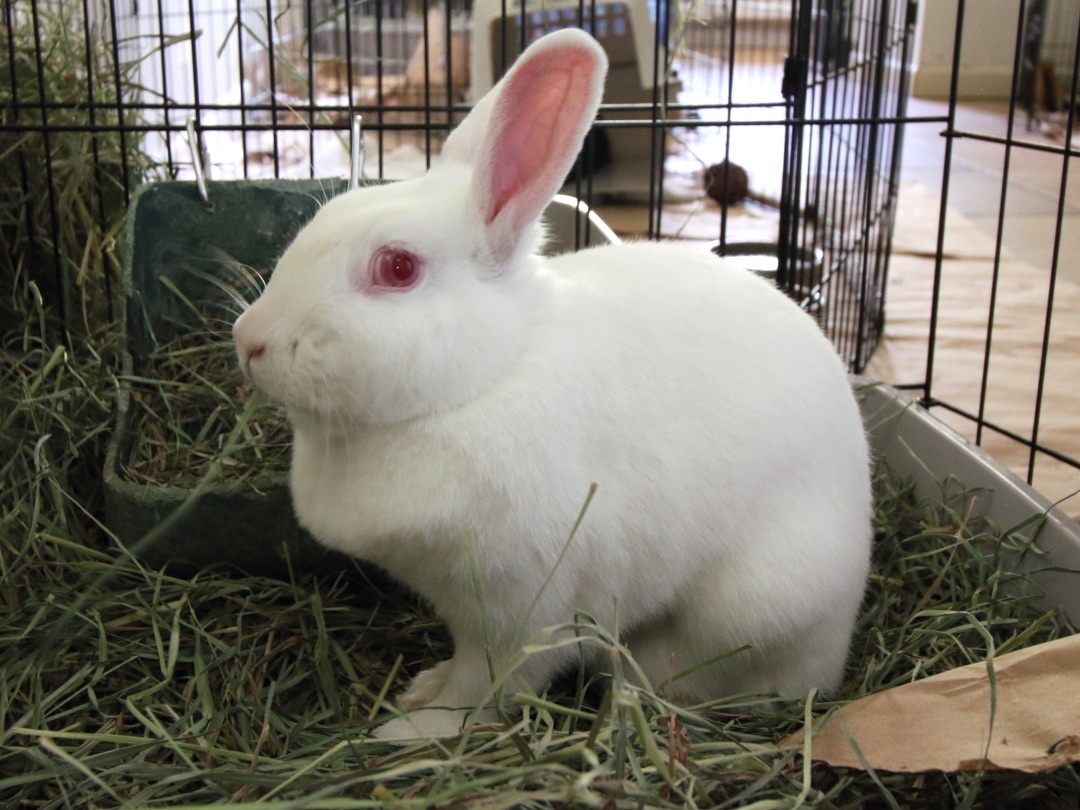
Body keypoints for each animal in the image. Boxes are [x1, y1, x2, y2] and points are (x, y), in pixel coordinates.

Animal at [232, 28, 873, 741]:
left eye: (397, 268)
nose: (249, 340)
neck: (484, 381)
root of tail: (838, 647)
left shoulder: (525, 605)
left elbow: (492, 681)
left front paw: (416, 729)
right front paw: (421, 690)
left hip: (745, 610)